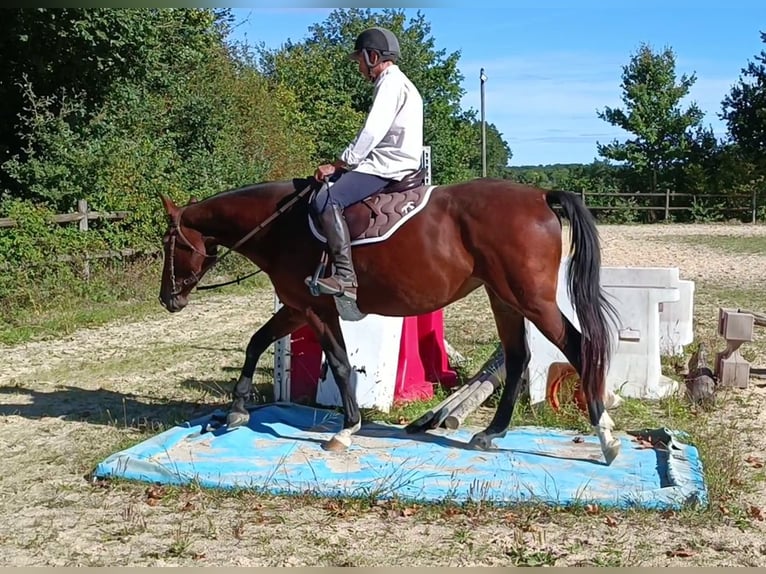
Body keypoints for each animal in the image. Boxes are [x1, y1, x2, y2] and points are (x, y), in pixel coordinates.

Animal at [158, 173, 624, 466]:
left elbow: (340, 363)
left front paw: (346, 429)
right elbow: (257, 341)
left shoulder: (315, 309)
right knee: (517, 359)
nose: (167, 298)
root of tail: (539, 196)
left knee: (579, 347)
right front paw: (237, 411)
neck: (281, 225)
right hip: (505, 299)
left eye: (169, 243)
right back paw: (491, 434)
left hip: (531, 301)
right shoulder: (295, 308)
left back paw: (606, 437)